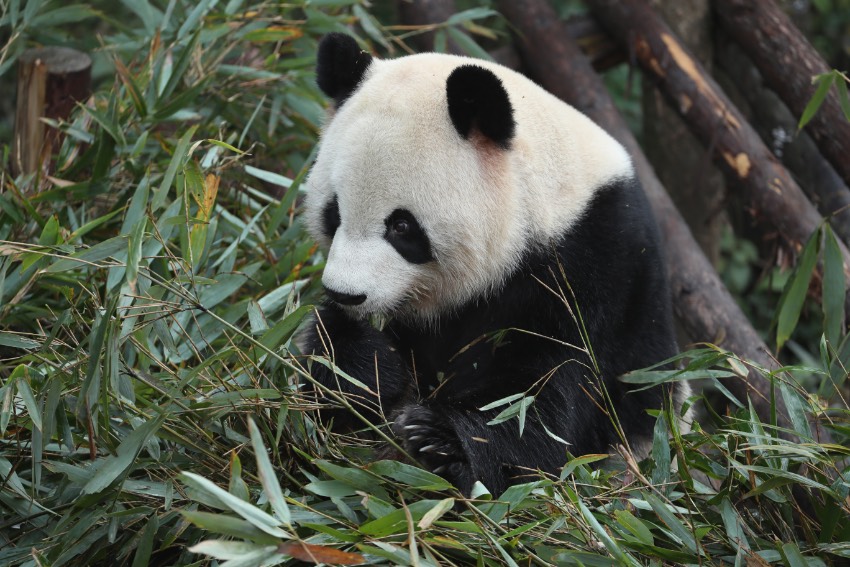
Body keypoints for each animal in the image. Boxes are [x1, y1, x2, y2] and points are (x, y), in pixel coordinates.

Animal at [298, 33, 688, 496]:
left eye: (402, 226)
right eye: (333, 213)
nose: (346, 293)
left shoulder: (596, 269)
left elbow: (543, 401)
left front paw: (442, 442)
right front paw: (361, 368)